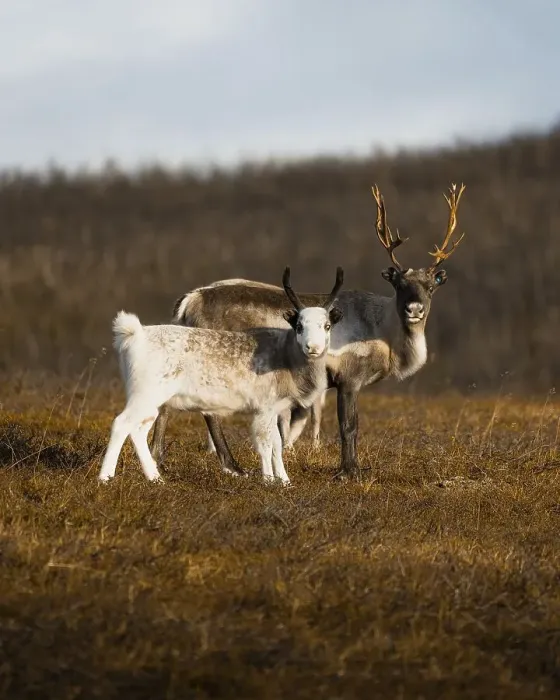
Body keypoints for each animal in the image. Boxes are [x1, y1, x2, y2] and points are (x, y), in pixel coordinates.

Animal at [98, 268, 344, 485]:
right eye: (299, 325)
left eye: (327, 325)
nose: (313, 347)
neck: (286, 356)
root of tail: (133, 334)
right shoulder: (264, 408)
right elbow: (266, 443)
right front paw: (268, 480)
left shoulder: (274, 409)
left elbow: (276, 442)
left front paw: (284, 480)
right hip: (145, 395)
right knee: (121, 423)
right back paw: (105, 478)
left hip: (150, 401)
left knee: (139, 429)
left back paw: (156, 478)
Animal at [149, 183, 466, 480]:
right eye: (399, 284)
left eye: (431, 286)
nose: (414, 309)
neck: (383, 332)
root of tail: (188, 301)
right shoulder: (349, 379)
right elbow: (349, 427)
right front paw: (349, 472)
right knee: (205, 411)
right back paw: (229, 466)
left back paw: (162, 459)